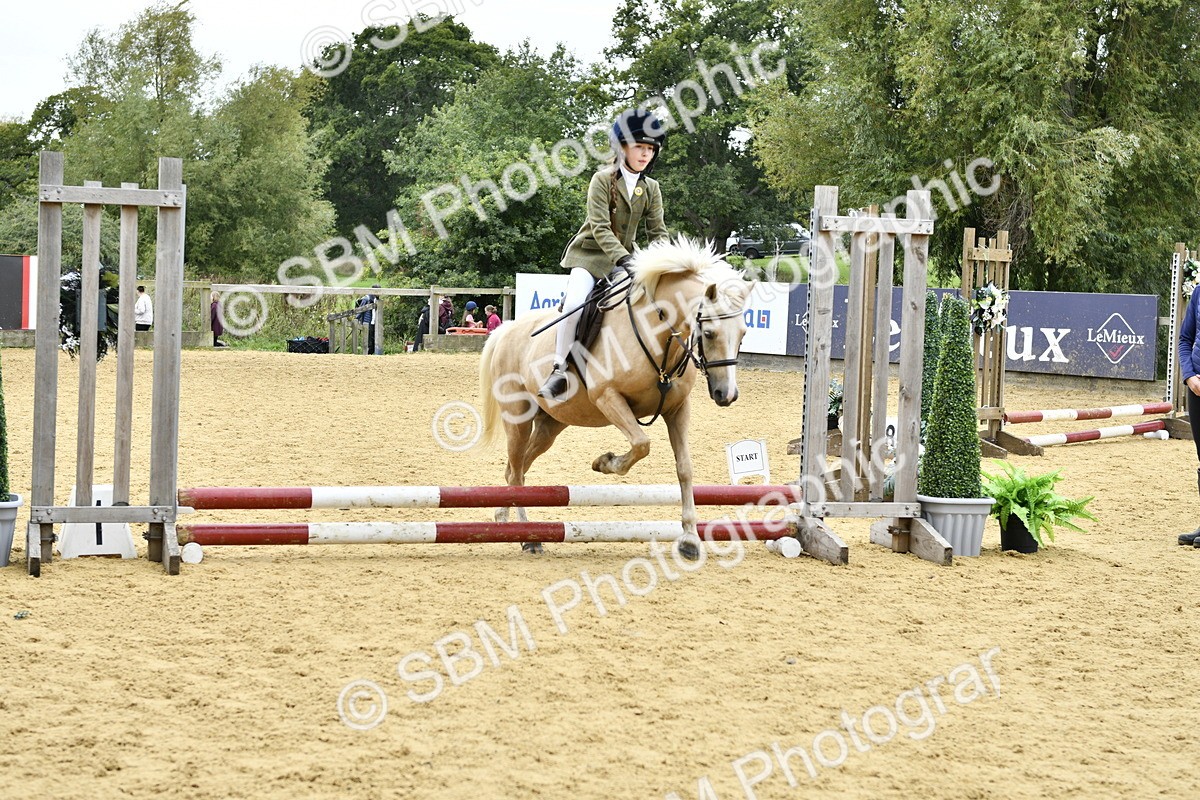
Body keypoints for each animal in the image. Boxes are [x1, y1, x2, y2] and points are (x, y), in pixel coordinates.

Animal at [478, 236, 754, 560]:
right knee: (517, 473)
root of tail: (506, 329)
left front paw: (689, 540)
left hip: (550, 425)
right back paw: (527, 537)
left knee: (516, 468)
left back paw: (505, 519)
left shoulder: (677, 409)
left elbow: (684, 469)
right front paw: (604, 462)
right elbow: (641, 444)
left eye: (744, 333)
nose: (727, 395)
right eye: (709, 333)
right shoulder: (608, 398)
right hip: (518, 419)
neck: (658, 336)